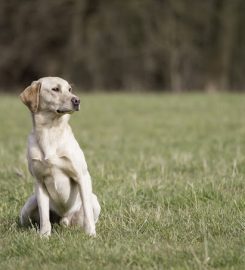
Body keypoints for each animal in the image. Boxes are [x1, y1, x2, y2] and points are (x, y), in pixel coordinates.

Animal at [18, 76, 99, 236]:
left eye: (70, 89)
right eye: (55, 89)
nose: (77, 100)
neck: (50, 131)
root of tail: (64, 219)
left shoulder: (82, 176)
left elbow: (87, 211)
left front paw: (91, 234)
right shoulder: (39, 181)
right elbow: (44, 216)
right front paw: (44, 235)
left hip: (94, 200)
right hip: (28, 206)